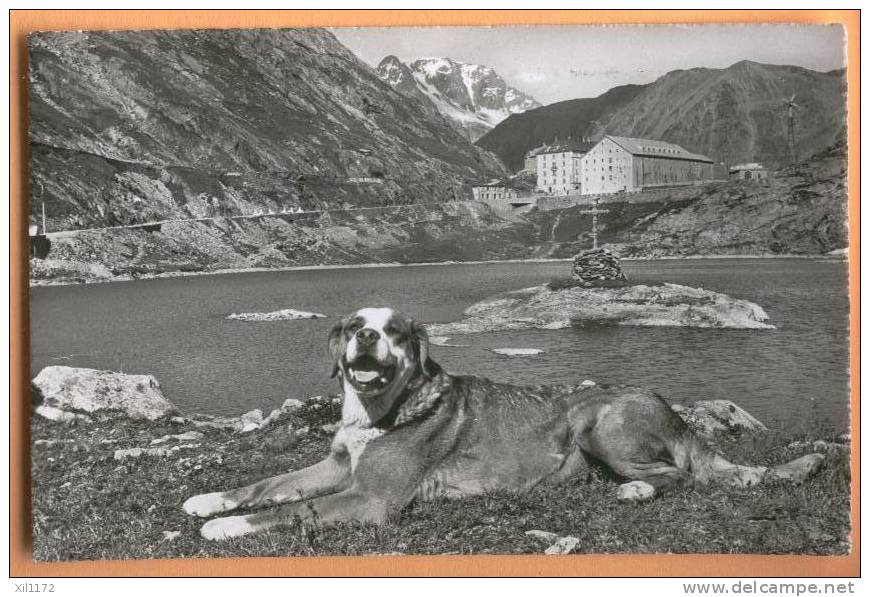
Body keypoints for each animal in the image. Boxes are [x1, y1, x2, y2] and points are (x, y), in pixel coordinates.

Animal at [182, 304, 824, 536]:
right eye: (356, 326)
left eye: (395, 333)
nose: (367, 338)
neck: (379, 414)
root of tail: (665, 402)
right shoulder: (337, 467)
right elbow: (269, 483)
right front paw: (211, 501)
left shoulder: (369, 500)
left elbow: (290, 509)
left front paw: (224, 528)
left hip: (595, 420)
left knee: (679, 475)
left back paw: (636, 490)